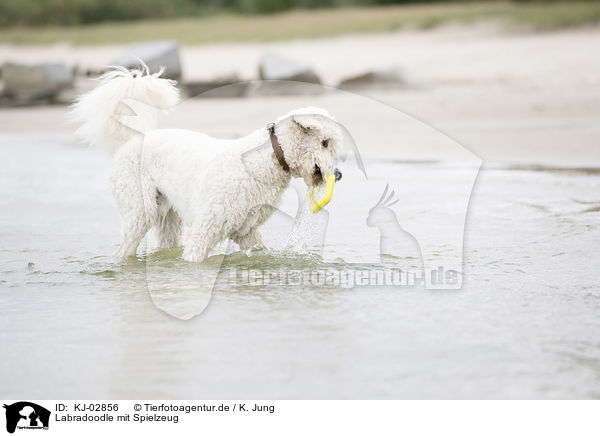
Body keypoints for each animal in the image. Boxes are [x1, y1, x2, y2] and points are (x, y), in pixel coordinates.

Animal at [72, 66, 342, 260]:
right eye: (325, 142)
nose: (338, 175)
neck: (261, 163)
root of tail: (132, 139)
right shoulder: (205, 229)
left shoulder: (247, 232)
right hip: (139, 212)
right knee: (124, 249)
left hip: (167, 216)